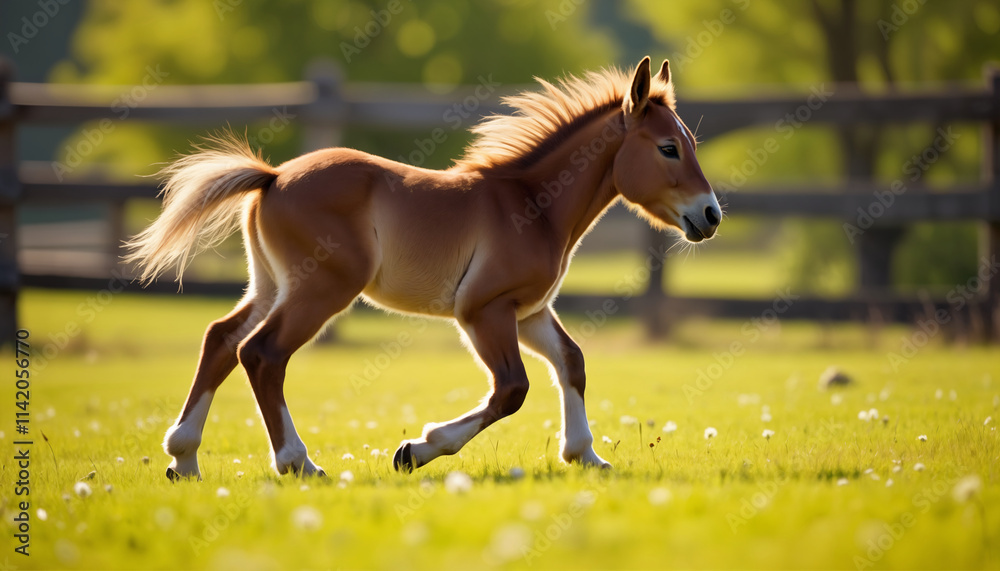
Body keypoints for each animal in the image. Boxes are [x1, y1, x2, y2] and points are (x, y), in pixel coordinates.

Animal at [125, 56, 721, 480]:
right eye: (668, 148)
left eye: (689, 142)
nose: (710, 215)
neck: (533, 204)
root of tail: (272, 177)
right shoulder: (484, 311)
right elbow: (512, 389)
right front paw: (416, 449)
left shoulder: (529, 313)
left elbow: (571, 362)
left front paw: (586, 456)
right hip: (322, 289)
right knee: (263, 354)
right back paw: (299, 462)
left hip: (272, 285)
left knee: (222, 339)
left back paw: (183, 458)